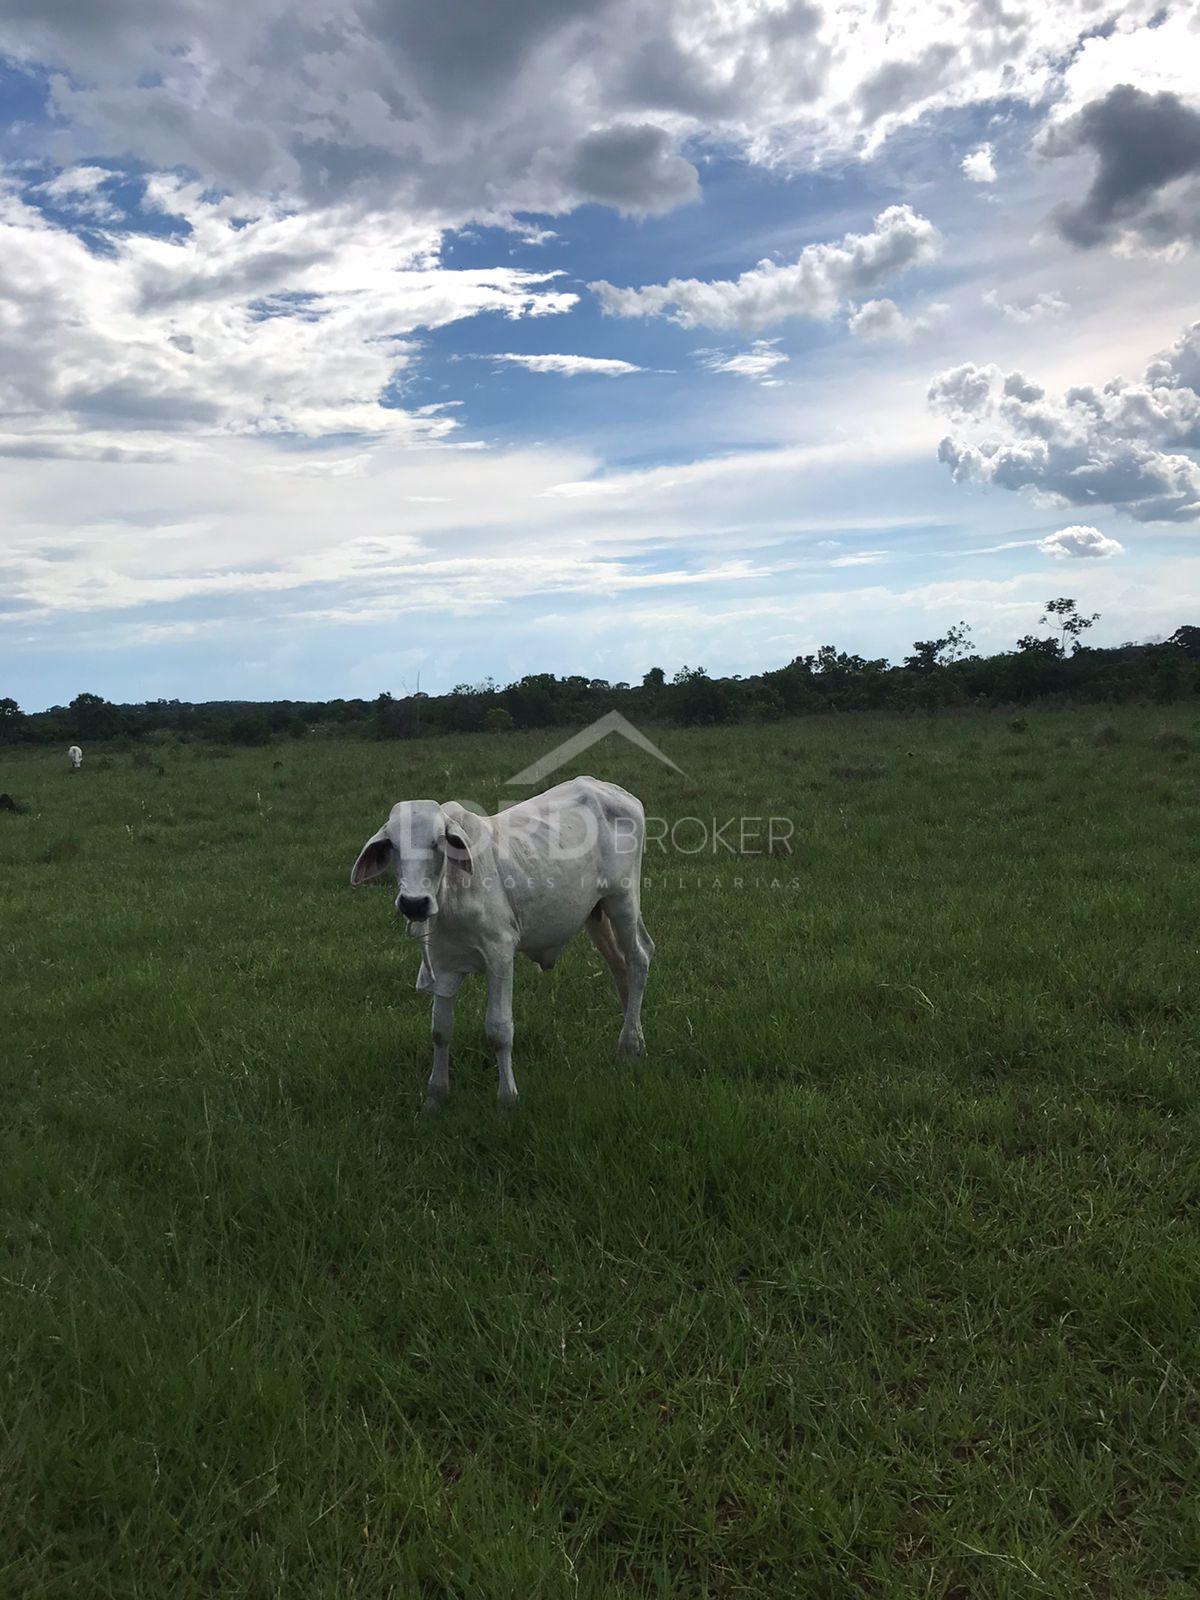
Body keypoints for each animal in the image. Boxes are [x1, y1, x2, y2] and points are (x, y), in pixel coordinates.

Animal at [352, 777, 652, 1113]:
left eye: (438, 841)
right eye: (393, 845)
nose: (414, 904)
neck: (453, 890)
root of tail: (609, 789)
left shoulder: (500, 955)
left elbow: (499, 1029)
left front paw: (507, 1099)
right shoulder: (443, 965)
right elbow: (440, 1030)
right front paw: (436, 1095)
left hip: (622, 900)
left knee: (639, 959)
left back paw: (628, 1043)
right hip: (595, 913)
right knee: (620, 967)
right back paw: (634, 1041)